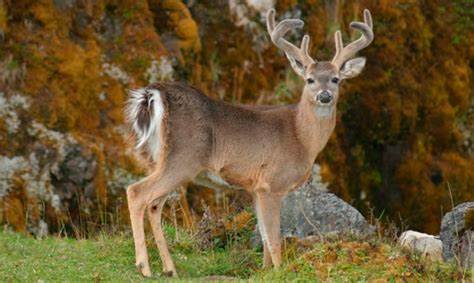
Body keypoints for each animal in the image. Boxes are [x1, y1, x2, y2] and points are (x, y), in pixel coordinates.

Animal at [125, 8, 374, 278]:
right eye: (309, 79)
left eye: (336, 79)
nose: (325, 96)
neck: (301, 138)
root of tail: (157, 94)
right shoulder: (271, 184)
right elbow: (274, 238)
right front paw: (280, 272)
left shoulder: (255, 188)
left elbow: (263, 236)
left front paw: (264, 271)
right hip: (183, 158)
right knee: (136, 192)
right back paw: (144, 267)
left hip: (160, 159)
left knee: (154, 205)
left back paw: (170, 269)